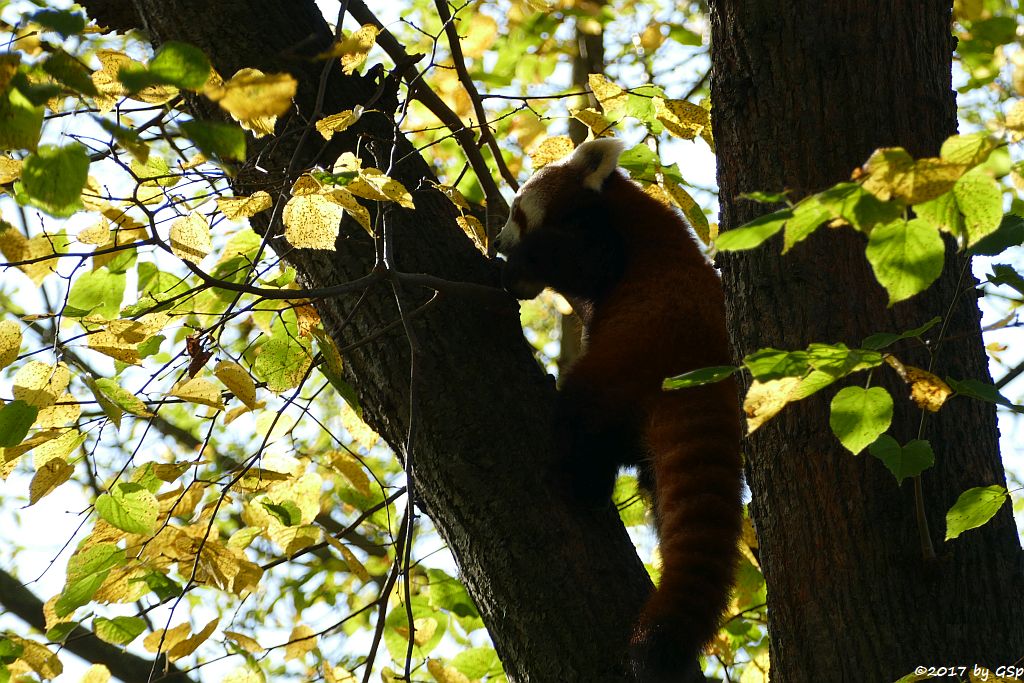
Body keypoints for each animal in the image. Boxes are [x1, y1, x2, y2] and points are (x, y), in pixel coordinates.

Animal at [497, 137, 745, 679]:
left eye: (516, 210)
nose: (500, 240)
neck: (618, 194)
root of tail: (701, 367)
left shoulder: (606, 238)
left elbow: (586, 263)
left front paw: (518, 267)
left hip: (625, 358)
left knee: (584, 415)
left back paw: (578, 479)